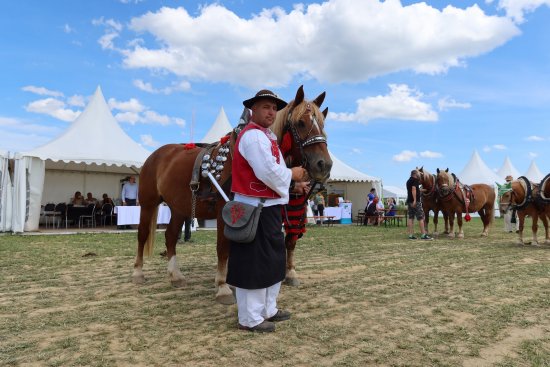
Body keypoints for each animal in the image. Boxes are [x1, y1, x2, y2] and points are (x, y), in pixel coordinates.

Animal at [133, 85, 332, 304]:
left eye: (323, 125)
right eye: (301, 123)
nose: (324, 165)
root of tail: (156, 155)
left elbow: (286, 241)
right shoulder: (226, 210)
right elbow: (223, 247)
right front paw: (222, 286)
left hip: (179, 207)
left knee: (170, 236)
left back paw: (175, 275)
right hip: (148, 203)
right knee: (142, 234)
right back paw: (138, 272)